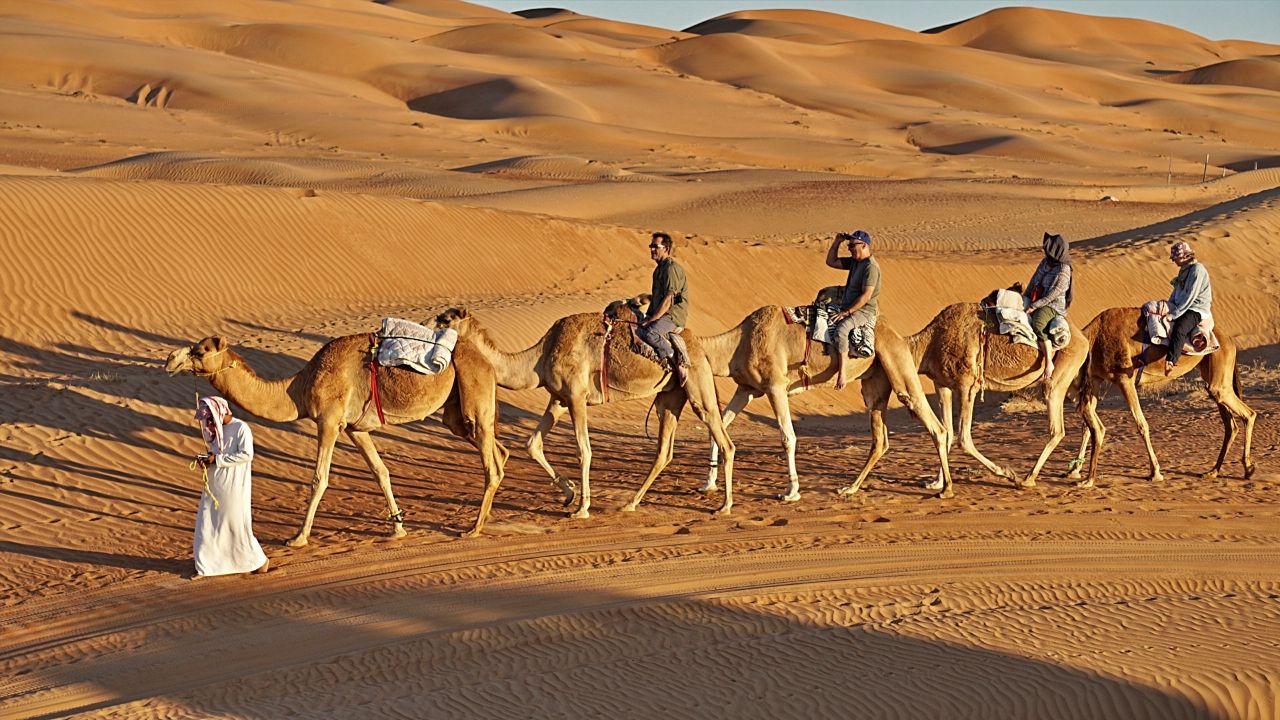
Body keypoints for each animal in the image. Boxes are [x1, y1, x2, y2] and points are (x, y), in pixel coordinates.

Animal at [164, 332, 508, 544]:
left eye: (200, 350)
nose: (169, 359)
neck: (298, 387)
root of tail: (486, 360)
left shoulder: (329, 420)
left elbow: (320, 477)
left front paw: (298, 538)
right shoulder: (356, 428)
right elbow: (381, 472)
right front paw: (397, 529)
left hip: (472, 390)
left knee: (491, 463)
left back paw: (474, 529)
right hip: (457, 414)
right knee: (497, 450)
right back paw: (485, 517)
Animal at [433, 307, 736, 517]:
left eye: (445, 320)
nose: (426, 325)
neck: (540, 356)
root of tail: (699, 346)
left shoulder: (577, 397)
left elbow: (584, 450)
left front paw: (581, 508)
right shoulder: (559, 398)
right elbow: (532, 443)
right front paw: (569, 494)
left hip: (697, 385)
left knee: (724, 440)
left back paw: (725, 506)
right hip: (670, 395)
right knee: (664, 450)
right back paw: (630, 503)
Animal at [698, 301, 955, 500]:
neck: (737, 344)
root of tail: (897, 334)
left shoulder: (775, 386)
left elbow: (788, 437)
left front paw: (791, 492)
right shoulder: (747, 389)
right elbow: (717, 429)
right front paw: (708, 484)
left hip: (898, 363)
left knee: (935, 425)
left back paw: (945, 489)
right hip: (875, 381)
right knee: (880, 438)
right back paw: (850, 488)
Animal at [848, 302, 1102, 494]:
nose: (864, 391)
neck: (928, 344)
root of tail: (1083, 338)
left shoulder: (967, 385)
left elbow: (964, 438)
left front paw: (1006, 473)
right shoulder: (943, 385)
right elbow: (947, 432)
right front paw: (937, 482)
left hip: (1057, 377)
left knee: (1057, 428)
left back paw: (1027, 479)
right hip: (1074, 382)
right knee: (1094, 424)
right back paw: (1085, 478)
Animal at [1069, 307, 1256, 486]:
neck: (1094, 338)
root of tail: (1230, 340)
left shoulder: (1124, 378)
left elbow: (1141, 425)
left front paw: (1156, 473)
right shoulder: (1095, 378)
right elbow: (1087, 426)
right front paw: (1074, 471)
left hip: (1220, 368)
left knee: (1248, 414)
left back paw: (1248, 469)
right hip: (1211, 373)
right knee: (1230, 425)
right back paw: (1213, 471)